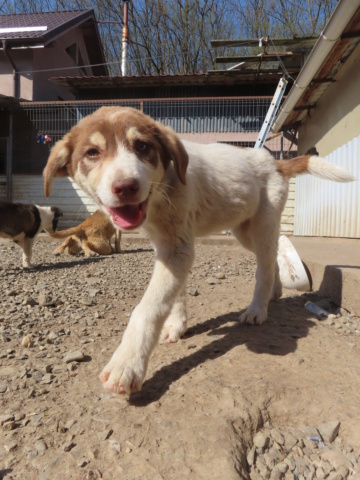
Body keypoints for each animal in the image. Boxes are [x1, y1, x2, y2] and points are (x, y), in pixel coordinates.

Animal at [43, 108, 354, 394]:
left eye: (142, 146)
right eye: (92, 153)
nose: (125, 187)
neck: (161, 191)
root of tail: (274, 161)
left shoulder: (177, 249)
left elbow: (148, 308)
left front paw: (126, 365)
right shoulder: (167, 247)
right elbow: (175, 293)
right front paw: (176, 325)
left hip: (262, 223)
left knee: (264, 265)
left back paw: (257, 309)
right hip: (243, 230)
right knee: (271, 257)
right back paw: (274, 293)